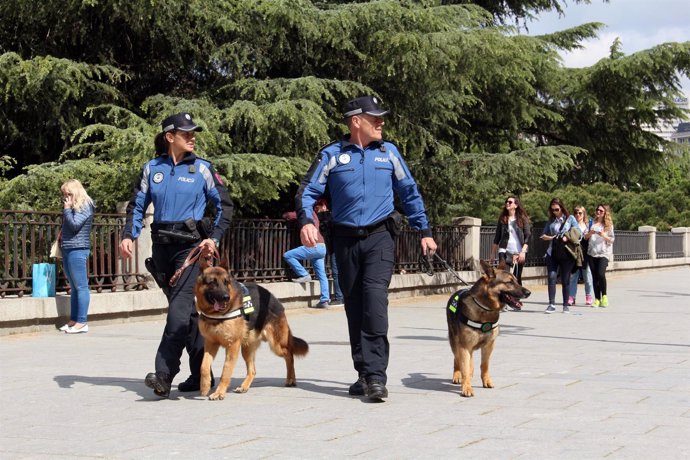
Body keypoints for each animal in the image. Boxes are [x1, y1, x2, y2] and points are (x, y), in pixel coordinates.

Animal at [189, 262, 306, 398]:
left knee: (289, 354)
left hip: (276, 345)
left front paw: (219, 393)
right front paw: (205, 386)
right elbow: (204, 366)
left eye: (226, 282)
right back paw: (244, 386)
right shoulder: (210, 343)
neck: (216, 315)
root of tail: (274, 299)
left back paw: (291, 379)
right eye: (212, 282)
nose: (226, 297)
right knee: (253, 370)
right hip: (247, 348)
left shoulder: (232, 346)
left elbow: (226, 370)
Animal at [444, 258, 528, 396]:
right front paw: (466, 387)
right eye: (509, 282)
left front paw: (486, 381)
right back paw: (457, 375)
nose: (528, 292)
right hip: (454, 342)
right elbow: (464, 367)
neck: (485, 308)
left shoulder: (489, 346)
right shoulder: (464, 346)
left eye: (516, 280)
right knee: (457, 359)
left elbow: (484, 365)